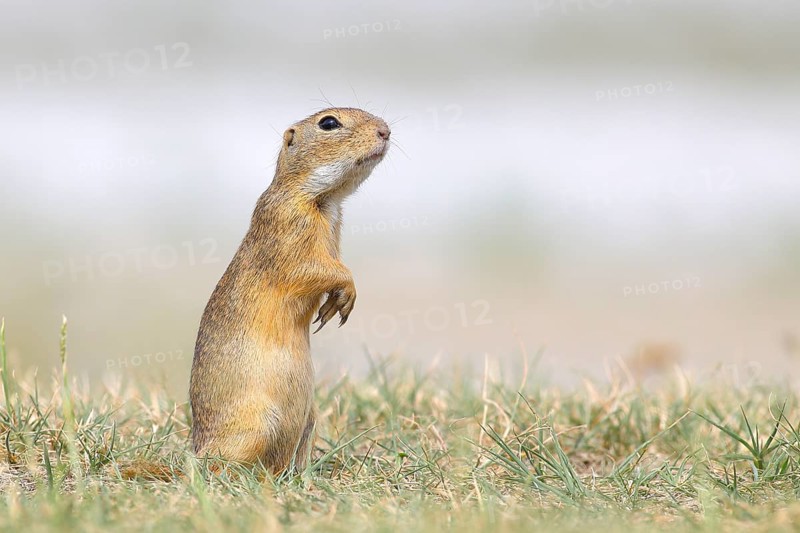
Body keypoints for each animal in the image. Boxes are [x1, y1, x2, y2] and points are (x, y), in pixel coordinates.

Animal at [189, 107, 391, 474]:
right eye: (328, 123)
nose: (385, 130)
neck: (323, 201)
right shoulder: (289, 230)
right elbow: (313, 270)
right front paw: (347, 292)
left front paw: (333, 306)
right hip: (257, 425)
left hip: (309, 418)